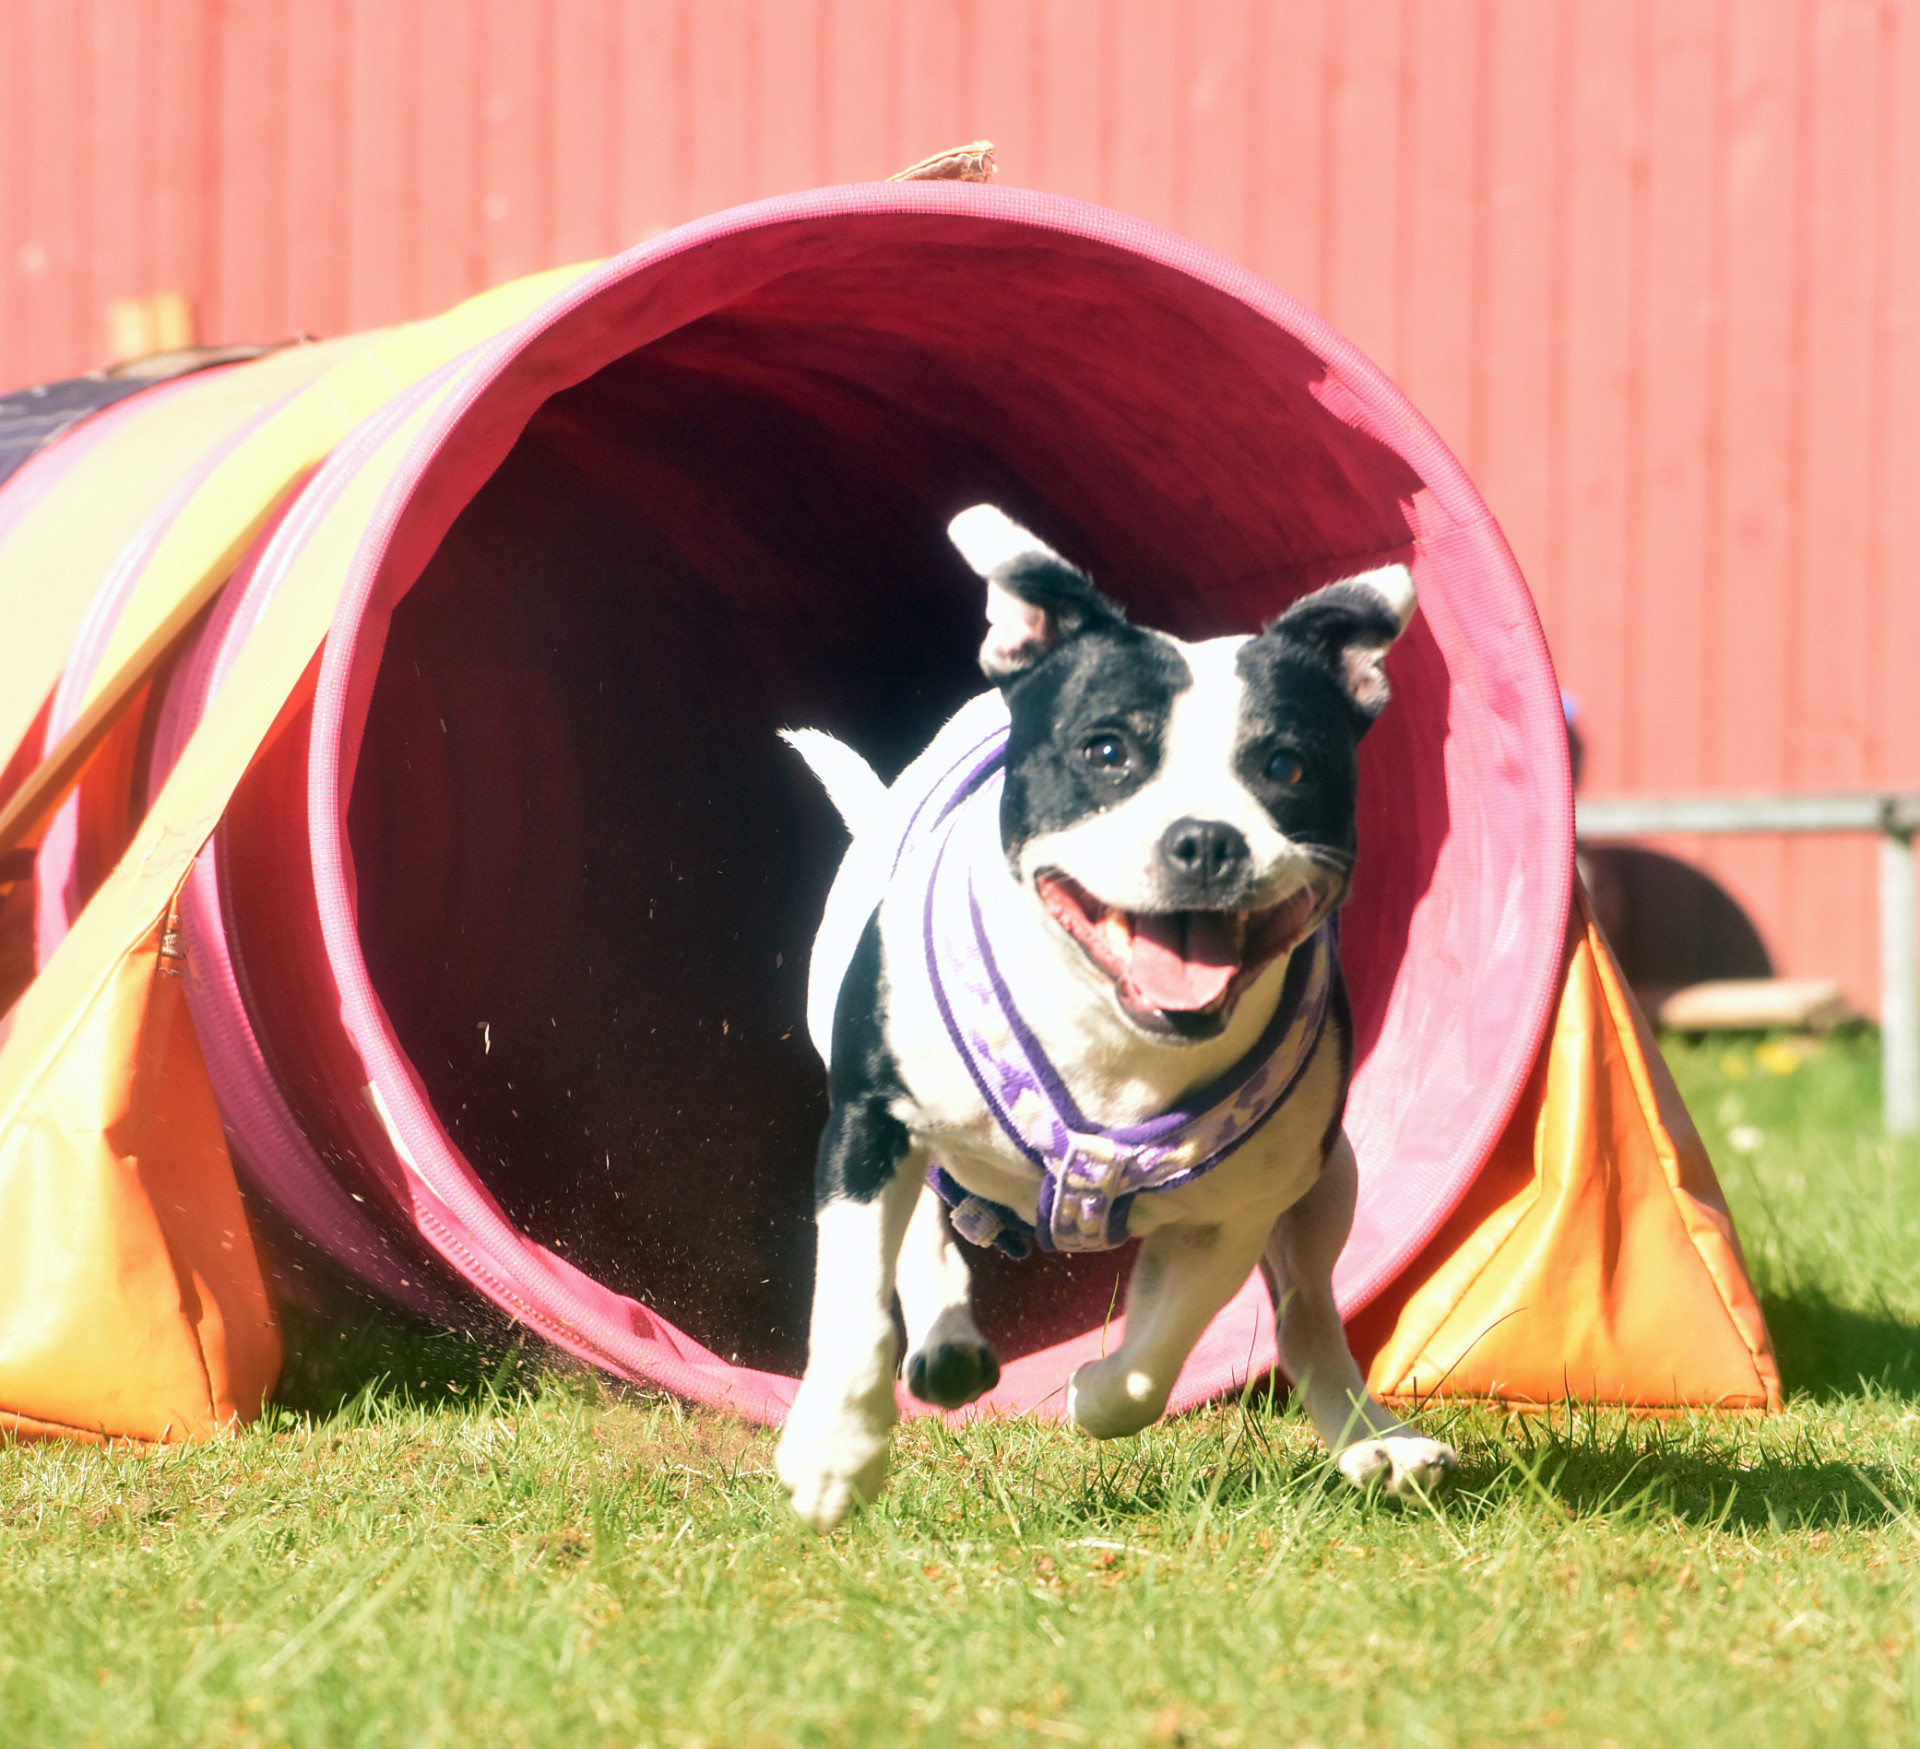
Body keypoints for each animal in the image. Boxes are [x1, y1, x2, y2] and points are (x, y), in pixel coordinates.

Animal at [774, 505, 1458, 1532]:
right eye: (1107, 751)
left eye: (1286, 765)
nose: (1206, 839)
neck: (1118, 1028)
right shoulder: (866, 1118)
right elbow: (855, 1293)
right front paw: (833, 1455)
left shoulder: (1236, 1210)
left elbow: (1155, 1357)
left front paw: (1092, 1391)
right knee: (926, 1221)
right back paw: (943, 1340)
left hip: (1329, 1177)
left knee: (1306, 1309)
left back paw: (1374, 1437)